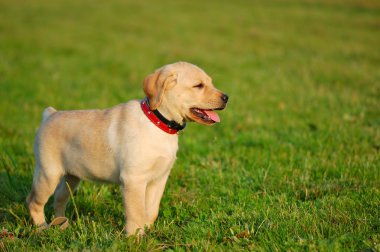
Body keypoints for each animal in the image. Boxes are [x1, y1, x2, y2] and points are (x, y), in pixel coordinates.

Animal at [27, 62, 229, 235]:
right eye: (198, 86)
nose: (226, 97)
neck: (158, 123)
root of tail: (50, 115)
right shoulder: (134, 179)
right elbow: (136, 212)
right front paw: (135, 238)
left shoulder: (159, 178)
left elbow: (151, 210)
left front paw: (148, 231)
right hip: (48, 173)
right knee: (34, 201)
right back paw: (42, 228)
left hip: (72, 176)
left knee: (59, 199)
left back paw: (62, 225)